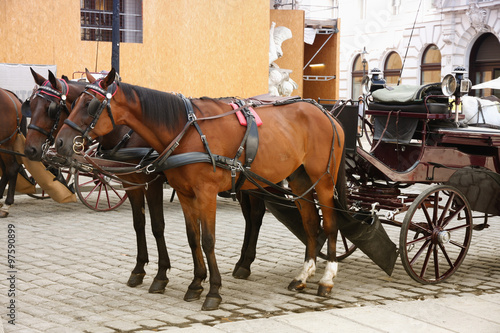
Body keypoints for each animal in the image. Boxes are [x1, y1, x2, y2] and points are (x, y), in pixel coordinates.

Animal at [23, 68, 171, 292]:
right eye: (30, 105)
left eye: (50, 109)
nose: (30, 149)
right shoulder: (131, 183)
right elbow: (139, 223)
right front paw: (138, 270)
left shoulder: (152, 182)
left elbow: (158, 226)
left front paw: (161, 274)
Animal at [53, 68, 344, 312]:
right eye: (73, 104)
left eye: (90, 105)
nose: (59, 143)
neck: (186, 132)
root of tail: (326, 113)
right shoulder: (182, 192)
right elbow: (191, 237)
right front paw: (195, 283)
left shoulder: (202, 193)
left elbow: (206, 240)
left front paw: (212, 290)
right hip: (298, 180)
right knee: (309, 223)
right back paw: (302, 274)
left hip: (323, 181)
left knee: (329, 224)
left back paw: (327, 278)